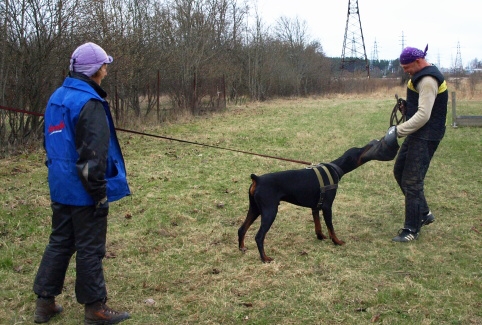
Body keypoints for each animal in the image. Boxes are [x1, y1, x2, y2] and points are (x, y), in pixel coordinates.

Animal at [238, 130, 400, 262]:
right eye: (360, 150)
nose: (371, 143)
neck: (335, 169)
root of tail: (257, 179)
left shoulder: (316, 206)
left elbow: (318, 224)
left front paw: (320, 236)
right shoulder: (328, 206)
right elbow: (331, 226)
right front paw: (337, 241)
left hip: (255, 208)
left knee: (242, 229)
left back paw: (242, 248)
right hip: (270, 211)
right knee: (259, 236)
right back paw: (265, 258)